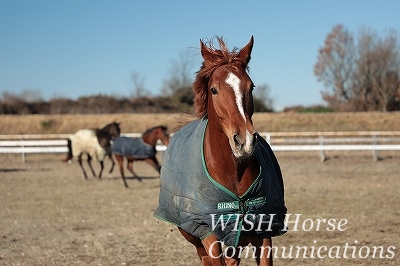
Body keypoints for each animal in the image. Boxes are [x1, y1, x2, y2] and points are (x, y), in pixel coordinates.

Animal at [154, 36, 288, 264]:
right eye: (214, 90)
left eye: (251, 87)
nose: (244, 141)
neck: (232, 172)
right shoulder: (207, 231)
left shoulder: (263, 227)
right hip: (195, 236)